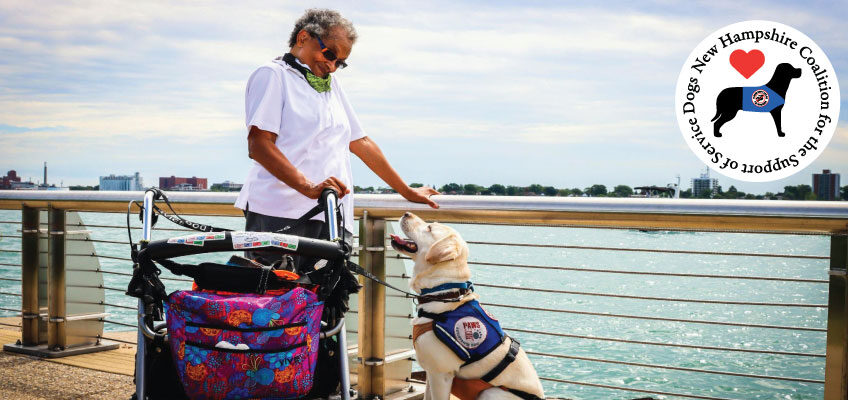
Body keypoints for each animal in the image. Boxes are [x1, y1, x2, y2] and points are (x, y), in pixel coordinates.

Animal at [390, 212, 544, 400]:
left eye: (429, 228)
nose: (406, 213)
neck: (444, 294)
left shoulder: (441, 375)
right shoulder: (431, 372)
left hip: (490, 392)